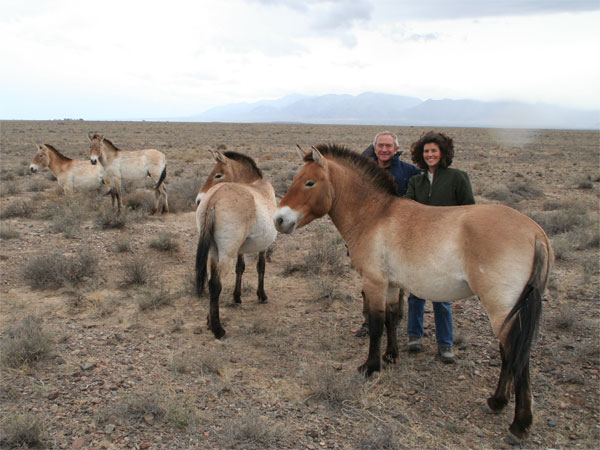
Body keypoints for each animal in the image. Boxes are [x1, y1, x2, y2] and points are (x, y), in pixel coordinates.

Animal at [196, 150, 278, 338]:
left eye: (218, 174)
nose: (198, 199)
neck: (256, 184)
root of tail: (213, 199)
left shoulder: (240, 250)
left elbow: (240, 268)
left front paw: (237, 297)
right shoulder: (262, 247)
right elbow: (261, 267)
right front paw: (262, 295)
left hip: (214, 253)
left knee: (211, 281)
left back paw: (209, 321)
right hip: (226, 254)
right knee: (215, 285)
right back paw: (218, 329)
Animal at [276, 144, 552, 442]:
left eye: (309, 182)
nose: (279, 219)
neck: (374, 215)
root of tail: (536, 232)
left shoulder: (374, 283)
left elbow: (376, 324)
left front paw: (370, 366)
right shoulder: (392, 285)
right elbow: (392, 319)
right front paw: (391, 356)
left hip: (500, 308)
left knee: (516, 354)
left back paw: (518, 422)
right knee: (510, 353)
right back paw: (498, 402)